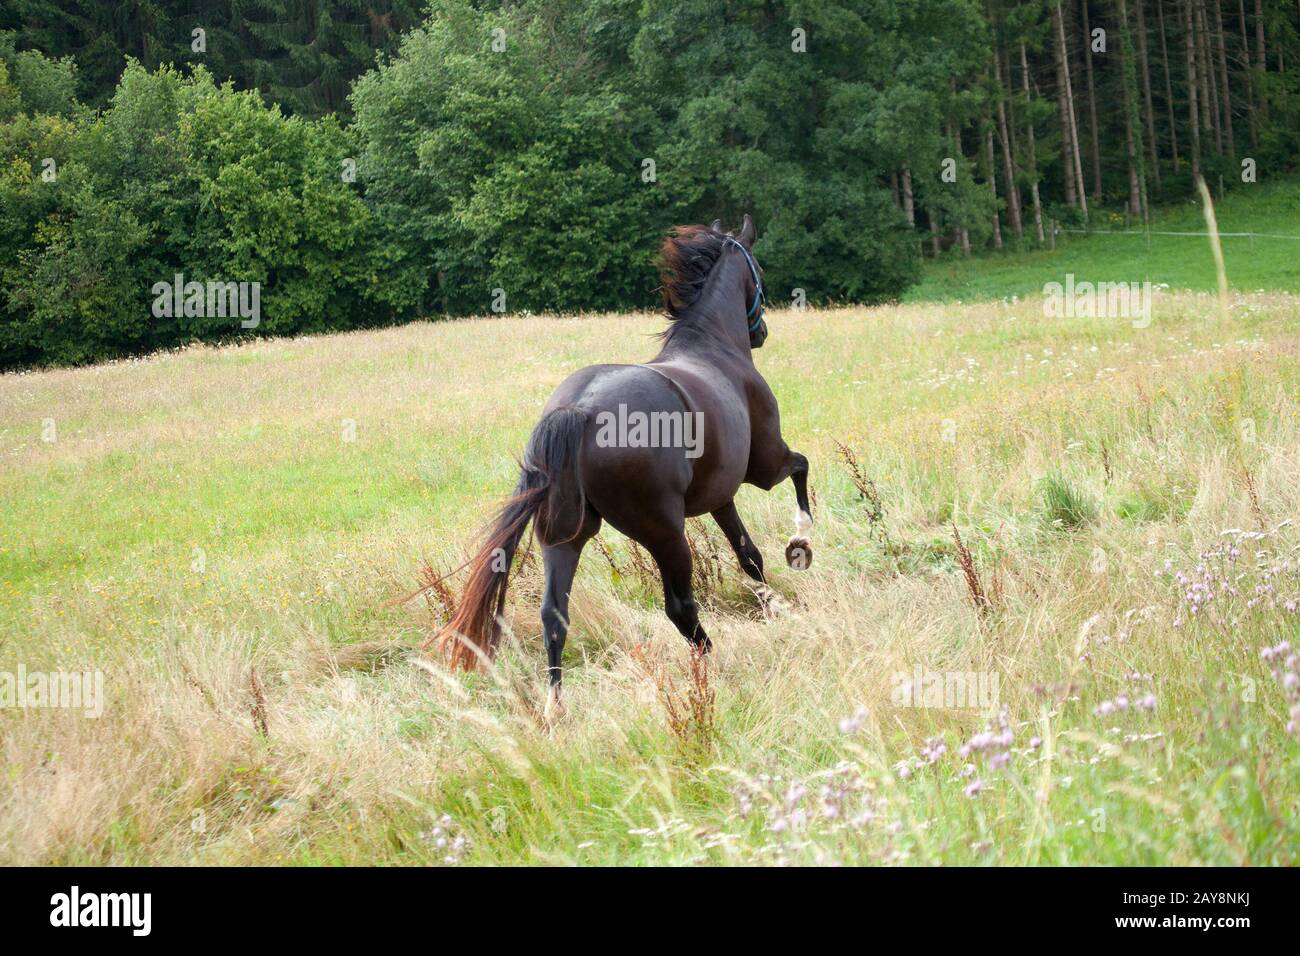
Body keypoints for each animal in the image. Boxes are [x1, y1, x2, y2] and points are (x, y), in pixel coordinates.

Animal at [432, 214, 813, 712]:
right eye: (759, 272)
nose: (761, 332)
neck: (714, 348)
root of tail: (579, 410)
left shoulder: (720, 497)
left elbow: (749, 555)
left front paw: (773, 602)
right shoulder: (763, 468)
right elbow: (801, 469)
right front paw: (801, 542)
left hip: (565, 536)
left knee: (554, 614)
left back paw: (556, 706)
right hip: (664, 532)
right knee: (680, 606)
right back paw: (711, 666)